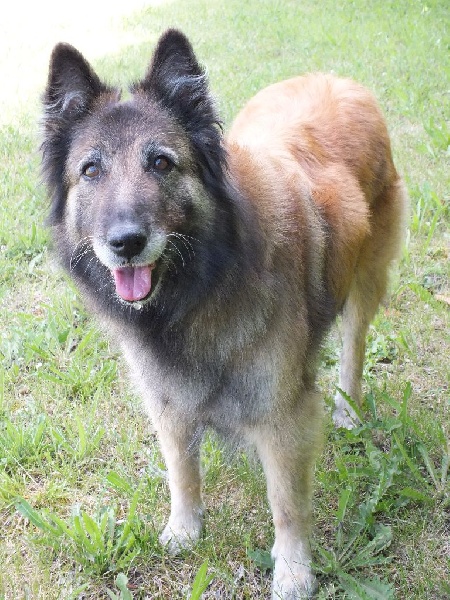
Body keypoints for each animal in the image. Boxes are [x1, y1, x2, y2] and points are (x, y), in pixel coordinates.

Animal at [42, 29, 408, 600]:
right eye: (91, 170)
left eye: (161, 163)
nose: (125, 243)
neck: (198, 293)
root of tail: (339, 81)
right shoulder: (168, 401)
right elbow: (182, 471)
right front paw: (184, 531)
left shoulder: (281, 415)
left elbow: (286, 505)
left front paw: (293, 571)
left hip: (365, 278)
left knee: (354, 344)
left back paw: (349, 406)